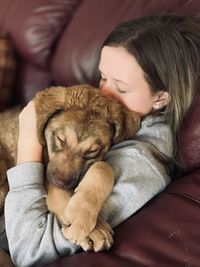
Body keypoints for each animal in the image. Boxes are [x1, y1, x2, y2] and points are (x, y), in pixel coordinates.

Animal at [0, 85, 141, 254]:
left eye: (92, 151)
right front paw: (93, 229)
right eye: (61, 139)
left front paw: (83, 214)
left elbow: (103, 167)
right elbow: (57, 192)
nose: (61, 182)